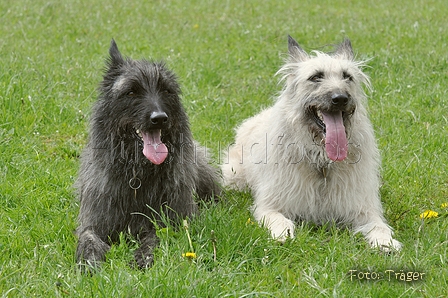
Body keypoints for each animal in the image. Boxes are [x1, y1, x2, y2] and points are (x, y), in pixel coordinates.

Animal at [76, 40, 221, 270]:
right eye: (131, 92)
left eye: (166, 90)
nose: (159, 118)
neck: (137, 173)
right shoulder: (93, 221)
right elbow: (87, 239)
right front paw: (89, 261)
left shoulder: (172, 220)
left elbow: (155, 236)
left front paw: (143, 256)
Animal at [224, 35, 402, 251]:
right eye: (316, 77)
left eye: (347, 77)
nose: (340, 98)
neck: (322, 162)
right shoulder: (270, 206)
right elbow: (279, 219)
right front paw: (282, 234)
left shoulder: (363, 208)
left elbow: (379, 225)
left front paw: (385, 241)